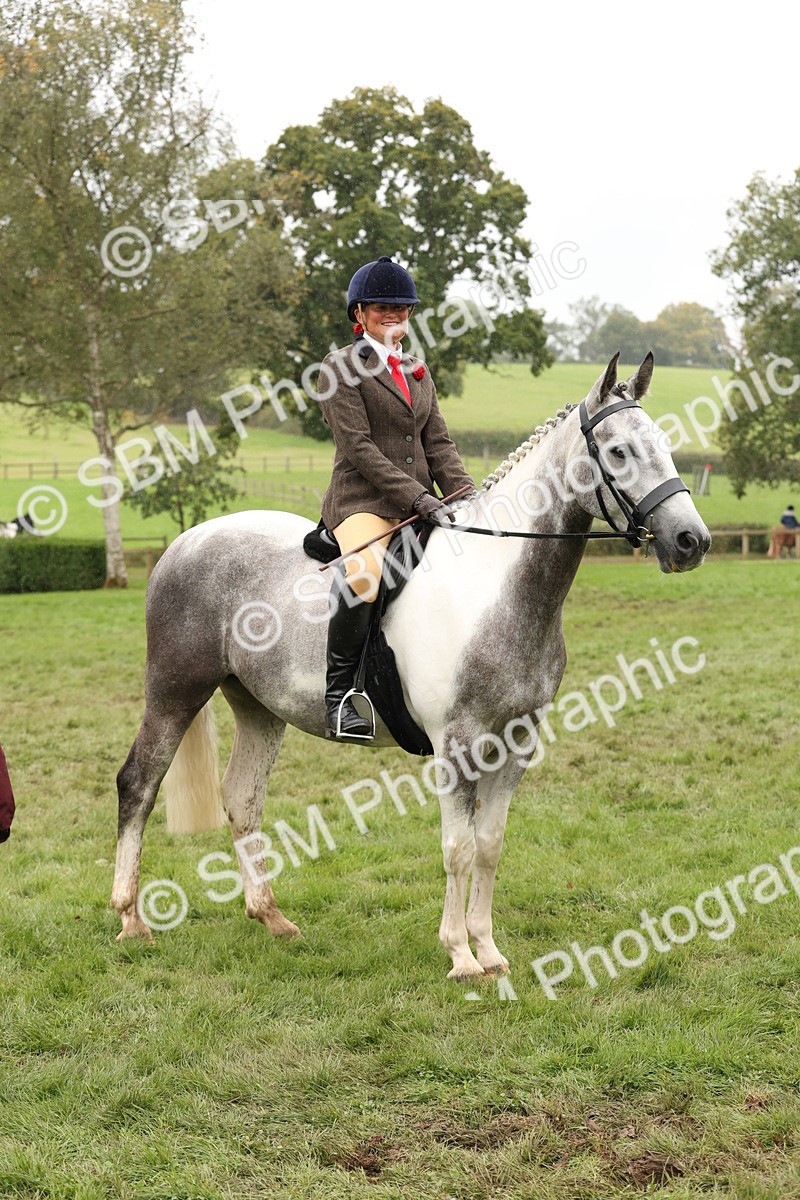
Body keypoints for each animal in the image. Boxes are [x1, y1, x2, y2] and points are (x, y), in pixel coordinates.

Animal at [111, 352, 711, 980]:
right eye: (618, 451)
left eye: (664, 444)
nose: (691, 541)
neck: (495, 587)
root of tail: (183, 543)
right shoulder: (457, 744)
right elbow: (458, 848)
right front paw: (460, 955)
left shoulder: (518, 741)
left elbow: (490, 844)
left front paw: (489, 950)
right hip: (176, 691)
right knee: (139, 784)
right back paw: (131, 920)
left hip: (257, 706)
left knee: (242, 797)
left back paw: (272, 918)